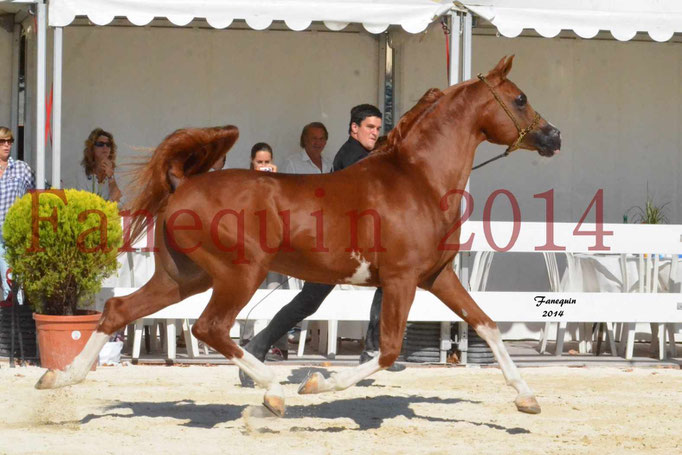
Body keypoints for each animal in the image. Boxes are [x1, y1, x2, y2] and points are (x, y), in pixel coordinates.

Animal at [35, 58, 556, 420]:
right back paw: (273, 390)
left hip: (184, 277)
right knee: (209, 328)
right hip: (239, 274)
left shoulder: (436, 277)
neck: (417, 179)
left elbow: (487, 324)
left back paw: (58, 378)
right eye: (520, 98)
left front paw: (528, 399)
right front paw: (315, 386)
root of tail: (183, 182)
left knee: (118, 309)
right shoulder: (402, 280)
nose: (554, 137)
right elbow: (387, 351)